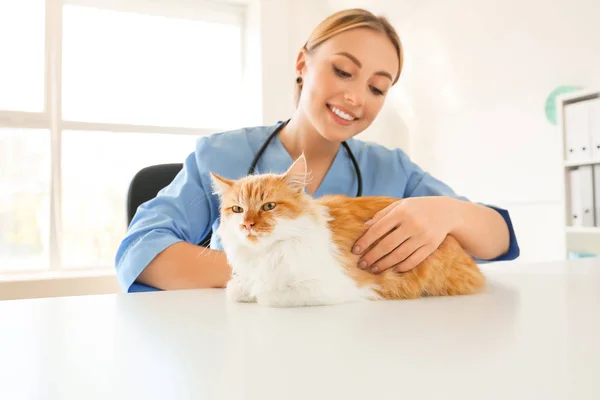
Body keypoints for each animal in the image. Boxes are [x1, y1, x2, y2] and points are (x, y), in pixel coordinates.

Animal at [209, 155, 486, 308]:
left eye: (268, 206)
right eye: (237, 209)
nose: (247, 224)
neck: (267, 254)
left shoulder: (332, 287)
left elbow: (267, 295)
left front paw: (258, 293)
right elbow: (236, 289)